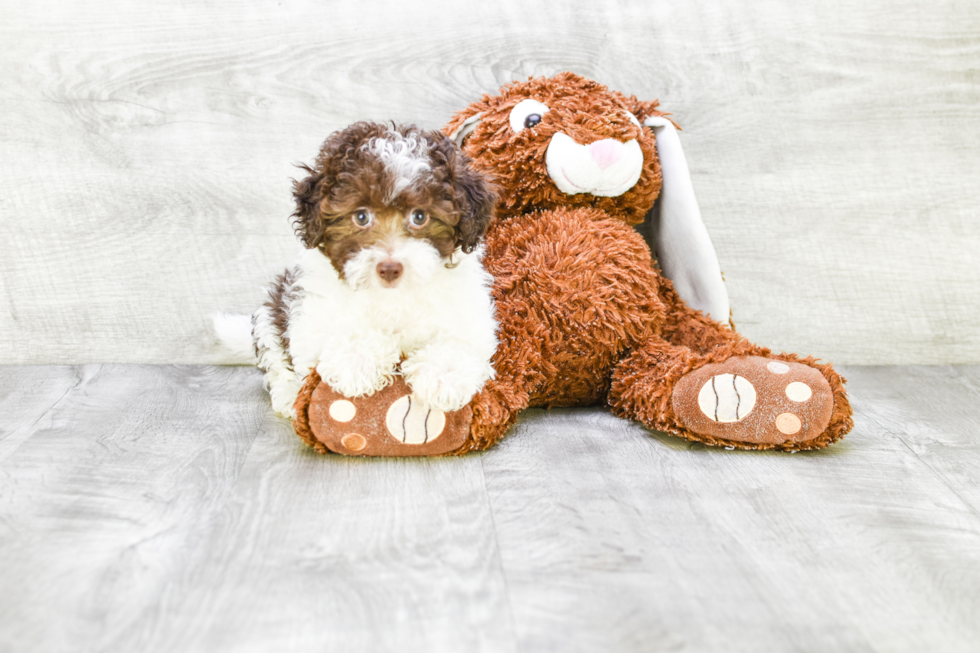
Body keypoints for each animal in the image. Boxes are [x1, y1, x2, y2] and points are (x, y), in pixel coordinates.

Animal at [240, 122, 498, 418]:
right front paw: (357, 360)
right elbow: (340, 332)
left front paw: (443, 375)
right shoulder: (310, 316)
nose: (389, 268)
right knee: (276, 361)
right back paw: (288, 395)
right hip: (271, 312)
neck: (392, 296)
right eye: (361, 216)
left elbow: (462, 341)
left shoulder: (469, 314)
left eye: (419, 216)